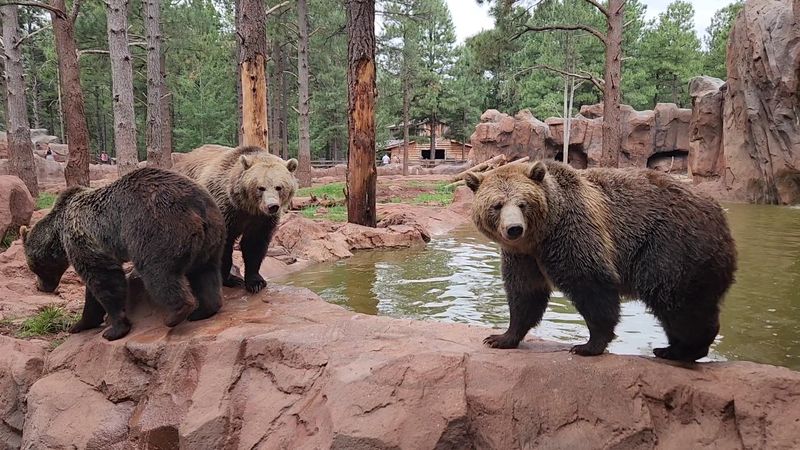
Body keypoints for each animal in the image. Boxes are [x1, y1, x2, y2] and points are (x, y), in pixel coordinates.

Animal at [20, 167, 225, 341]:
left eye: (34, 267)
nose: (42, 287)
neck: (59, 234)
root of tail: (196, 207)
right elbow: (95, 289)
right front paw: (79, 324)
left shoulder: (84, 240)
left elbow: (105, 281)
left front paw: (113, 329)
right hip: (212, 235)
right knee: (205, 272)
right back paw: (204, 310)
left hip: (156, 227)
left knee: (158, 273)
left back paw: (176, 313)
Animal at [174, 145, 298, 293]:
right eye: (261, 187)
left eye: (279, 187)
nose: (272, 206)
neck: (246, 206)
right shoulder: (224, 209)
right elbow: (223, 245)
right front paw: (228, 279)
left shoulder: (261, 220)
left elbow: (254, 245)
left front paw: (256, 282)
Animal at [464, 160, 737, 362]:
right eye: (497, 205)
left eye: (523, 203)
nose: (514, 229)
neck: (540, 236)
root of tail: (720, 215)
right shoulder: (523, 256)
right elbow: (525, 293)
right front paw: (500, 338)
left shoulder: (572, 232)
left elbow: (591, 284)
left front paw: (587, 345)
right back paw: (671, 348)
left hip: (671, 246)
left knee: (677, 300)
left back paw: (683, 350)